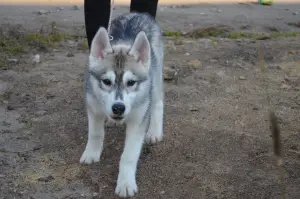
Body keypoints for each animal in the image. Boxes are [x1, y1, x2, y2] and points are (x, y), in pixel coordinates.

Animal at [79, 12, 164, 197]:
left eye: (131, 82)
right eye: (106, 81)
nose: (118, 108)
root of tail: (139, 13)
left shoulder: (138, 120)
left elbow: (129, 155)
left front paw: (125, 183)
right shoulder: (93, 107)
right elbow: (95, 134)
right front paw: (91, 153)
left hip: (155, 78)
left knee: (158, 103)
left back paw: (155, 132)